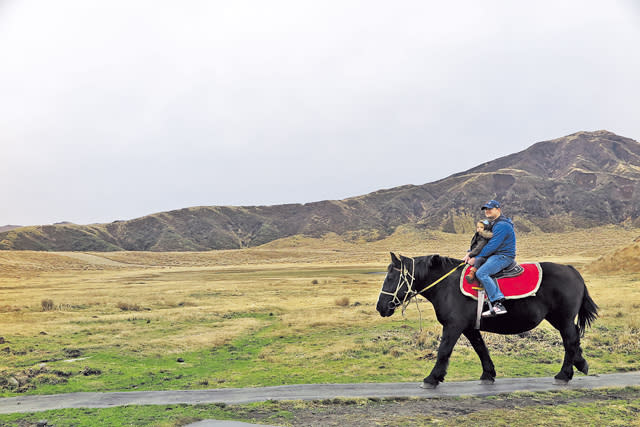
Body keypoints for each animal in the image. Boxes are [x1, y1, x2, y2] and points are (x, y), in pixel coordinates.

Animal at [378, 252, 596, 390]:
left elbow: (443, 351)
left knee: (570, 342)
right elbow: (481, 348)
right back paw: (580, 364)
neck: (447, 285)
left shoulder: (453, 326)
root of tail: (572, 270)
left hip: (563, 319)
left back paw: (564, 374)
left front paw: (432, 378)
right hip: (558, 319)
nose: (380, 307)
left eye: (391, 277)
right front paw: (488, 374)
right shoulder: (469, 328)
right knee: (574, 340)